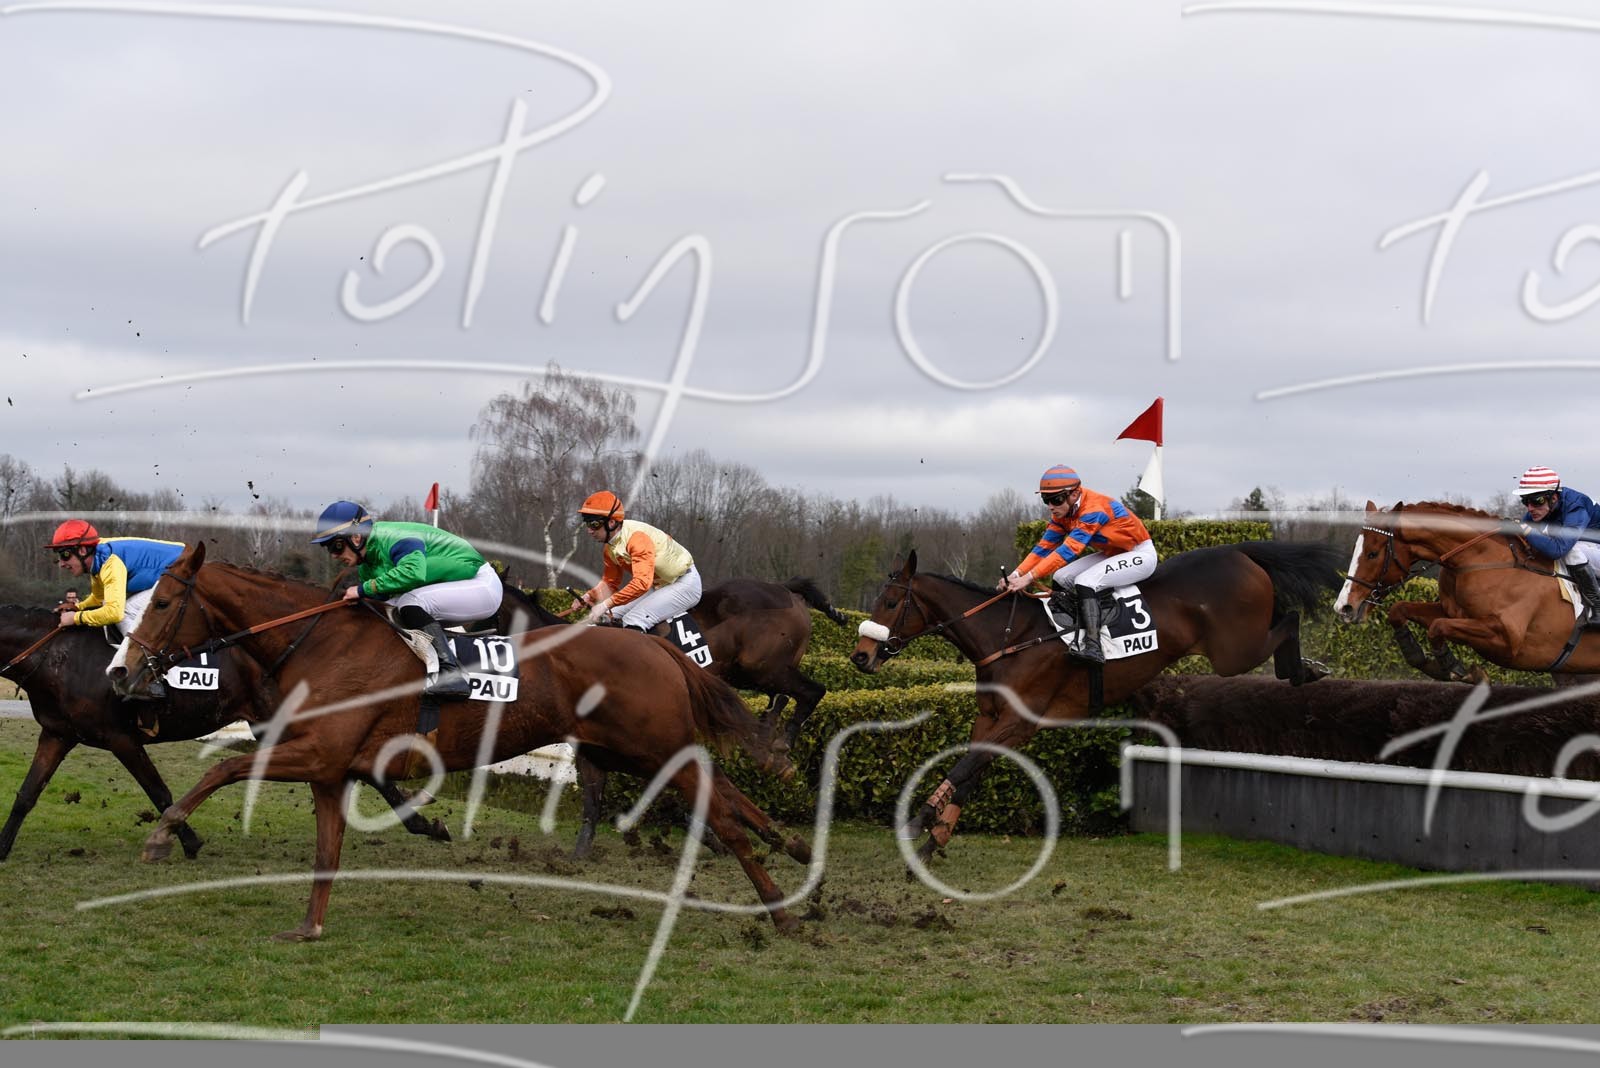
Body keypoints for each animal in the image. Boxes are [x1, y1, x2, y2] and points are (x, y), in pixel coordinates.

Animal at [0, 604, 448, 862]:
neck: (59, 657)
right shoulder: (57, 735)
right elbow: (27, 794)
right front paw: (3, 846)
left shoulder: (120, 739)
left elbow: (158, 791)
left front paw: (186, 842)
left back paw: (422, 824)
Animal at [117, 542, 809, 940]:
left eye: (164, 602)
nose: (123, 673)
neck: (318, 642)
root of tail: (658, 647)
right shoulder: (331, 765)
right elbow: (326, 848)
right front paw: (309, 926)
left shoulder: (318, 753)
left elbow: (221, 773)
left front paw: (163, 834)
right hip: (641, 749)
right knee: (724, 794)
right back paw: (794, 858)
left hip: (656, 749)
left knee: (724, 815)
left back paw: (779, 907)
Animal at [849, 541, 1343, 862]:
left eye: (890, 602)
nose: (860, 655)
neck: (1008, 637)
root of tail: (1241, 554)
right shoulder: (990, 718)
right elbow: (970, 769)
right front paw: (935, 838)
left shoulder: (1021, 721)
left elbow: (966, 766)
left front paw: (917, 823)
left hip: (1232, 651)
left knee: (1290, 619)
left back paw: (1308, 669)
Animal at [1334, 499, 1600, 681]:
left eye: (1373, 553)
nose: (1344, 607)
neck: (1476, 560)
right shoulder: (1452, 612)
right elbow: (1400, 610)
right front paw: (1418, 656)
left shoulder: (1507, 638)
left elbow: (1437, 626)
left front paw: (1455, 668)